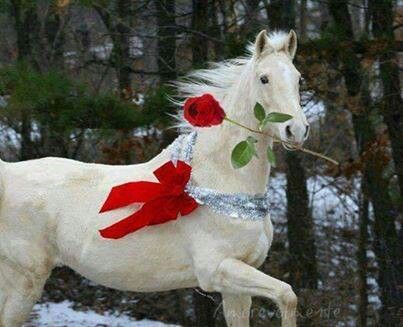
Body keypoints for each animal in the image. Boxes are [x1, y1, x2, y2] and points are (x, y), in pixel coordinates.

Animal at [0, 29, 310, 326]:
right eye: (264, 79)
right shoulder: (217, 269)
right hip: (23, 280)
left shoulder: (236, 287)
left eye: (298, 79)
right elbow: (287, 294)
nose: (296, 130)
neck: (220, 180)